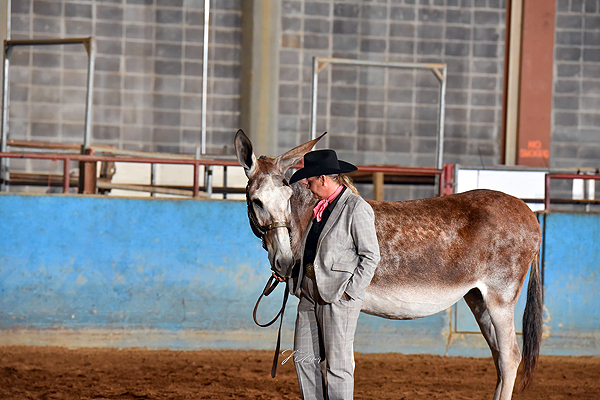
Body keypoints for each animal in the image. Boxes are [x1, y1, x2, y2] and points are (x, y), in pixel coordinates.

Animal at [234, 129, 543, 400]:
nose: (284, 263)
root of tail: (529, 211)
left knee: (510, 357)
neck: (313, 216)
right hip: (478, 299)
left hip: (500, 298)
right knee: (499, 357)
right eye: (256, 201)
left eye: (286, 199)